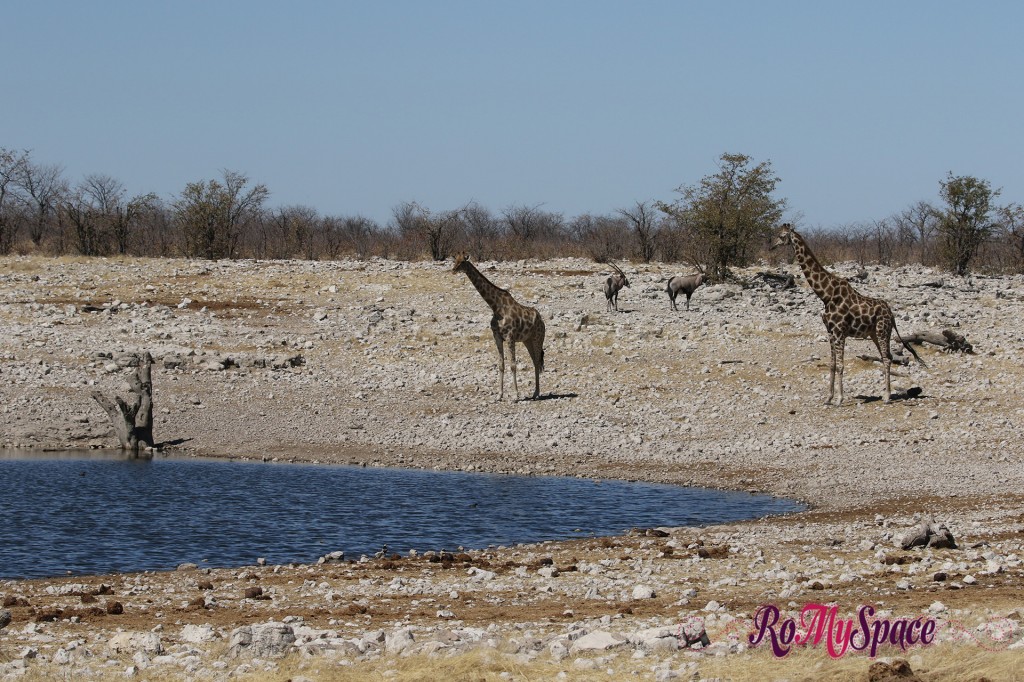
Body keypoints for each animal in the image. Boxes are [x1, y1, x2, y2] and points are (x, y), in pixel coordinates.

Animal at [448, 253, 544, 399]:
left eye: (462, 262)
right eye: (455, 260)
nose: (453, 270)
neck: (496, 307)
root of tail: (541, 320)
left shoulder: (510, 337)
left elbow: (513, 365)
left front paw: (516, 395)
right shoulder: (497, 337)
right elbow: (501, 365)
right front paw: (499, 394)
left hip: (537, 338)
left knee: (538, 361)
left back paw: (537, 393)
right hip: (527, 340)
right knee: (535, 361)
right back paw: (535, 392)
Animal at [770, 224, 929, 403]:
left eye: (781, 236)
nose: (772, 246)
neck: (826, 294)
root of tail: (892, 314)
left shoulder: (839, 331)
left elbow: (840, 364)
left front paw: (839, 398)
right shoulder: (830, 331)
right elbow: (832, 364)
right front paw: (829, 398)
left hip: (882, 331)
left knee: (887, 358)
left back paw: (887, 396)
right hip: (875, 333)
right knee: (885, 357)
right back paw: (885, 393)